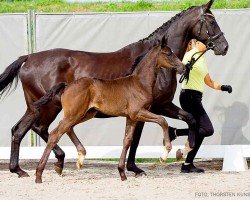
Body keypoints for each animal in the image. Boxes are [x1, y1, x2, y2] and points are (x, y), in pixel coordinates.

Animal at [34, 39, 184, 184]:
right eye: (168, 53)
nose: (183, 67)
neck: (139, 84)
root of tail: (67, 86)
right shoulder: (138, 113)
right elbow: (162, 121)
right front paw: (164, 155)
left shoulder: (131, 117)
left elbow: (127, 140)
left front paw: (122, 173)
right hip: (75, 114)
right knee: (55, 134)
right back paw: (39, 175)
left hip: (86, 114)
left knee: (68, 129)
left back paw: (80, 158)